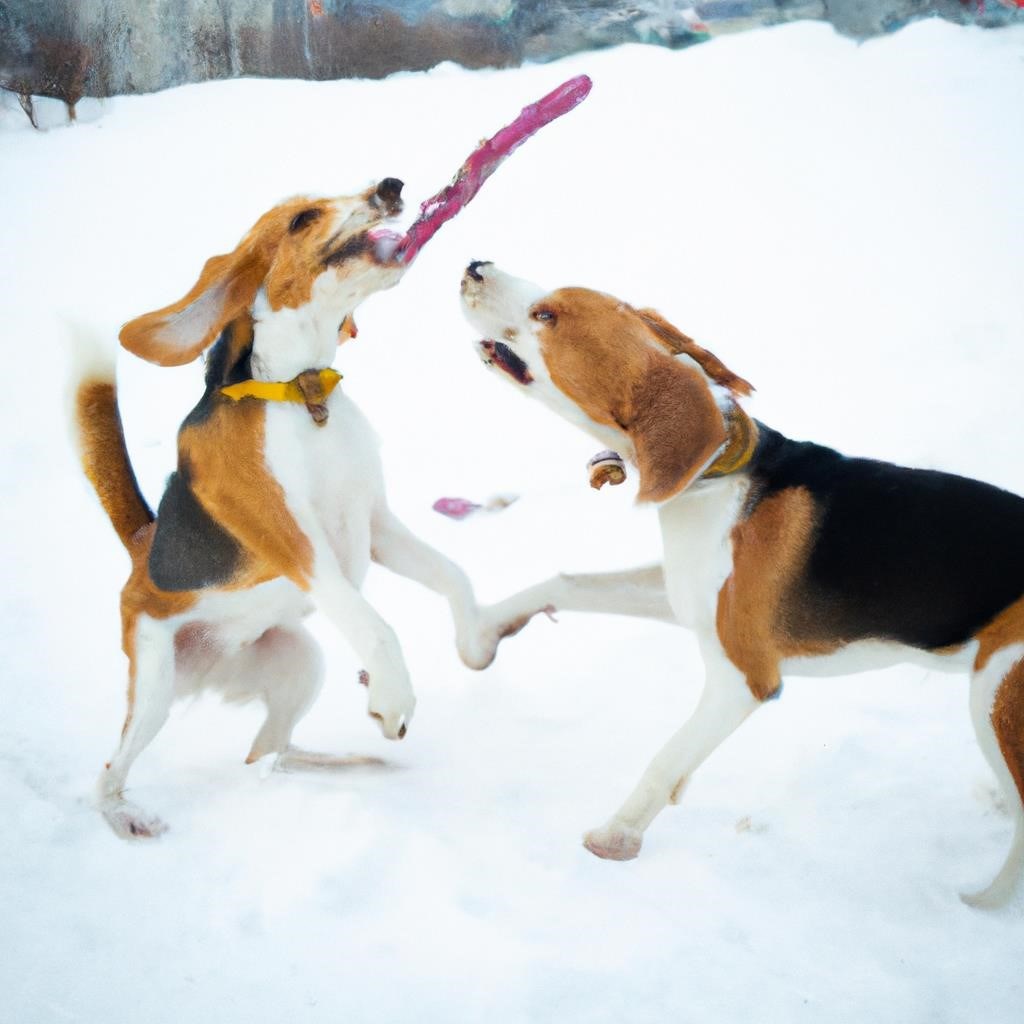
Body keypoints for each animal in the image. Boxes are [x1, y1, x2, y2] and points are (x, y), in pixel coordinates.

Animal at [76, 182, 520, 839]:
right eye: (303, 218)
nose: (390, 187)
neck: (302, 392)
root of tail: (141, 545)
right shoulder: (300, 546)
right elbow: (375, 626)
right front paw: (393, 698)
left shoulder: (376, 523)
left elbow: (452, 575)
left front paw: (472, 645)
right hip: (155, 686)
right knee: (110, 772)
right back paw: (123, 817)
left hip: (300, 663)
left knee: (268, 751)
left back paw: (348, 762)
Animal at [462, 260, 1024, 909]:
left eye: (546, 315)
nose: (476, 264)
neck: (717, 475)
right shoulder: (684, 596)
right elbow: (569, 582)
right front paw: (484, 632)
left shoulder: (743, 677)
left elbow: (667, 757)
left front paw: (614, 839)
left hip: (997, 693)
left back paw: (982, 902)